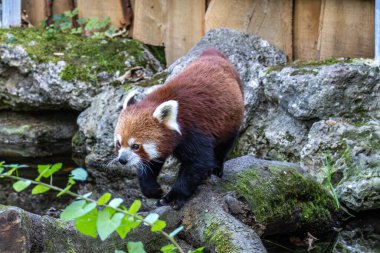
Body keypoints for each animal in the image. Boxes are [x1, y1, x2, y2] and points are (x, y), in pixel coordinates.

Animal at [114, 48, 243, 210]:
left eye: (135, 146)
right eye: (119, 143)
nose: (122, 160)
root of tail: (213, 54)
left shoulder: (193, 131)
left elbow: (196, 164)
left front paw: (172, 198)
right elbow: (151, 163)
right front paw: (154, 190)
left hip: (231, 119)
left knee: (223, 146)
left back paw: (215, 169)